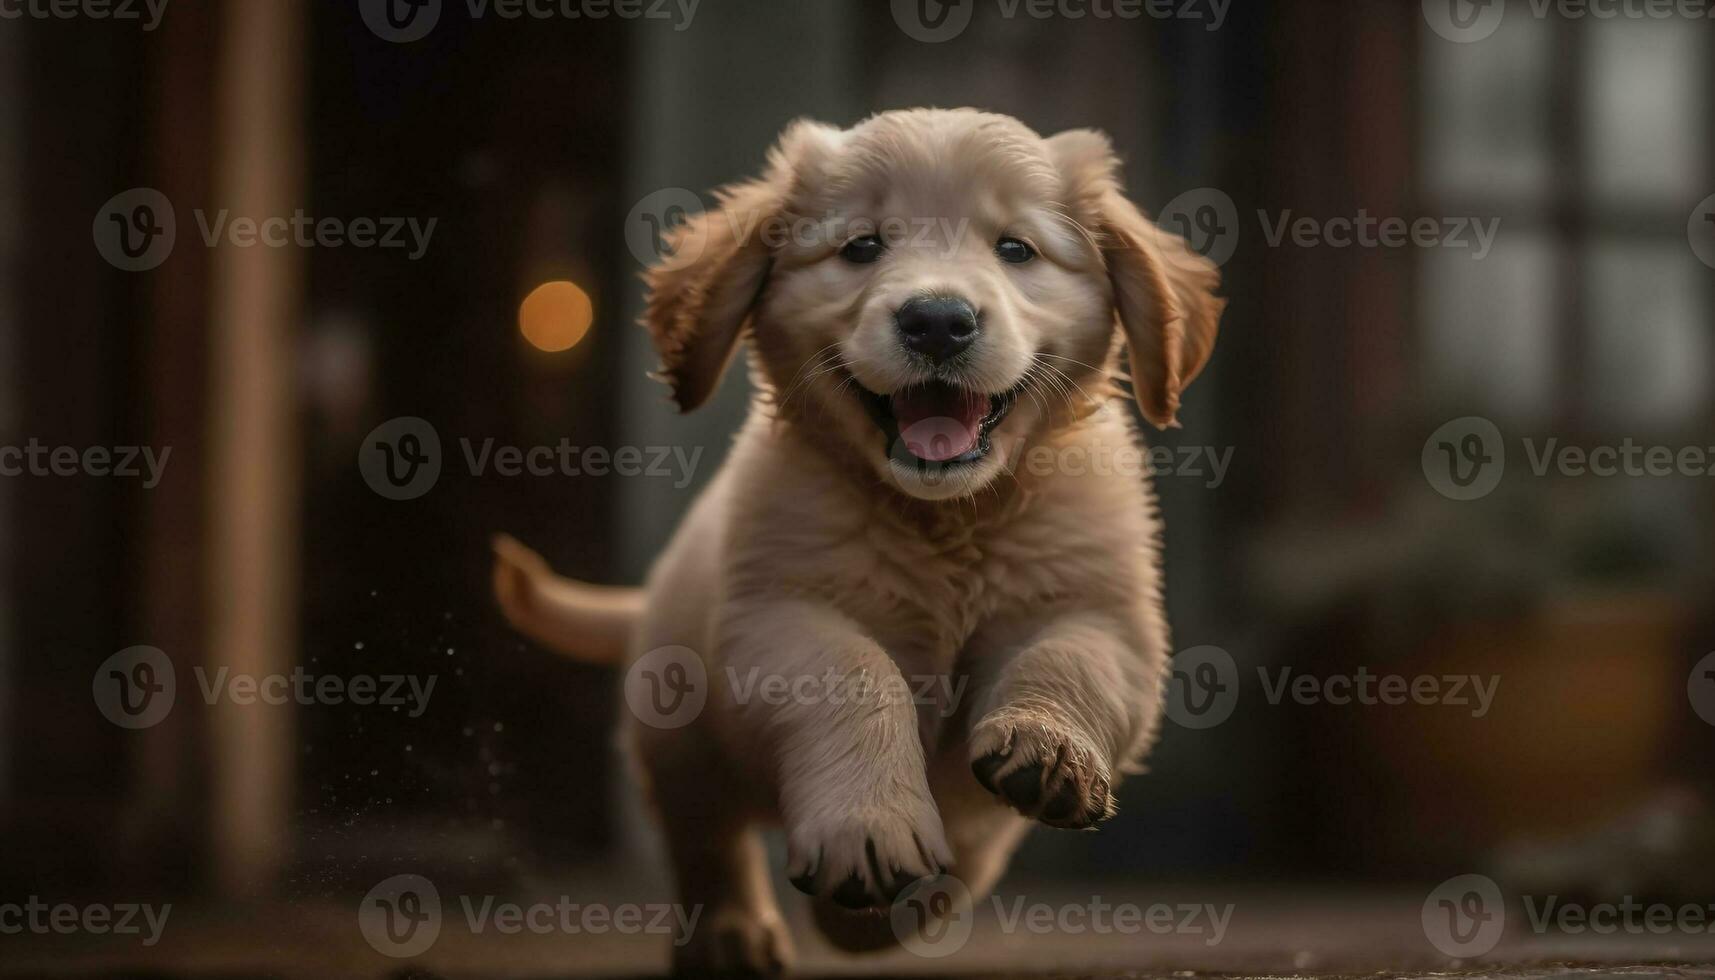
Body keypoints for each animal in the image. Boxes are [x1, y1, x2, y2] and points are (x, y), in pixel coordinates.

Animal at [493, 105, 1221, 974]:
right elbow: (854, 675)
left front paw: (1048, 747)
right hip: (676, 729)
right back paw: (734, 935)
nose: (936, 320)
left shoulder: (1105, 611)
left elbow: (1068, 660)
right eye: (861, 247)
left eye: (1015, 248)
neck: (948, 521)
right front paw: (868, 836)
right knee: (705, 837)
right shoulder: (775, 618)